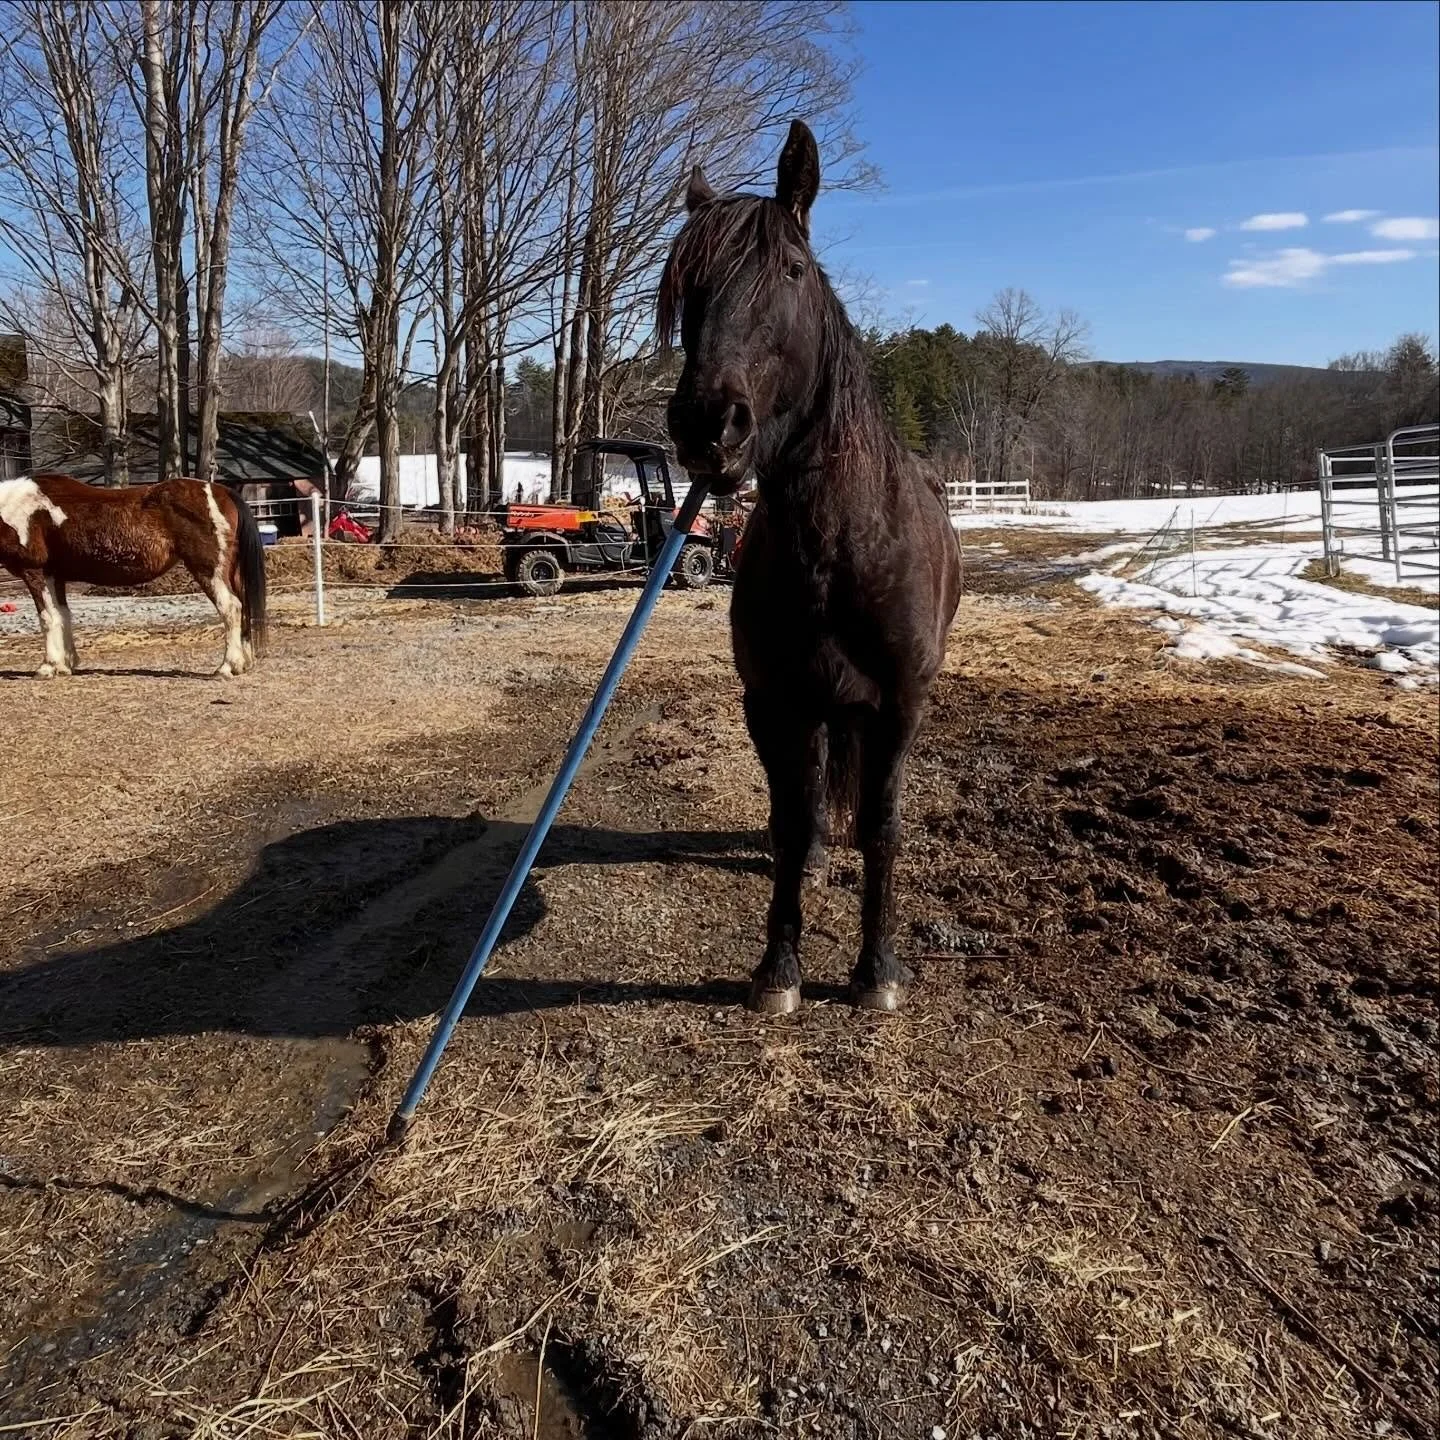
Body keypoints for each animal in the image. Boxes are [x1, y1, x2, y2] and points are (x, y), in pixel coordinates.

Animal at [0, 473, 267, 678]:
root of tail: (221, 491)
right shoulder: (56, 576)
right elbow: (62, 615)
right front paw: (66, 664)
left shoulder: (36, 573)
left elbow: (48, 617)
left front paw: (48, 666)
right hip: (230, 573)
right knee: (243, 606)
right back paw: (243, 663)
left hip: (208, 570)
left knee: (231, 607)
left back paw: (227, 667)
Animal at [660, 120, 962, 1014]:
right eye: (688, 287)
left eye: (790, 271)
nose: (708, 423)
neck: (845, 545)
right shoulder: (773, 702)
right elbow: (792, 822)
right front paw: (779, 970)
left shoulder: (901, 705)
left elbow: (885, 824)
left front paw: (877, 971)